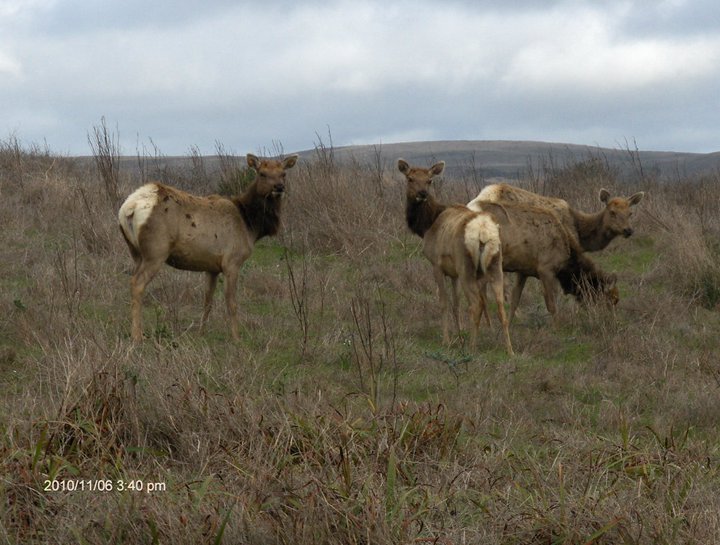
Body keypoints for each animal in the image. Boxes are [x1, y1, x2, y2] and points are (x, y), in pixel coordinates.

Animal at [119, 153, 300, 340]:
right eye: (262, 173)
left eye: (283, 173)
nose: (279, 187)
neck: (250, 225)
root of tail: (129, 208)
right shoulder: (232, 261)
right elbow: (232, 303)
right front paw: (236, 338)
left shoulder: (212, 267)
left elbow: (207, 300)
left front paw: (201, 333)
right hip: (156, 251)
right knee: (137, 283)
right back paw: (137, 336)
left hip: (136, 252)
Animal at [400, 158, 512, 352]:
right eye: (410, 178)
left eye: (429, 180)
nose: (422, 194)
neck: (427, 226)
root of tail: (483, 232)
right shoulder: (454, 273)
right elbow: (456, 304)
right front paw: (459, 337)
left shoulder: (437, 264)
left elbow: (444, 303)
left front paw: (447, 340)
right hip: (496, 265)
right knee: (501, 305)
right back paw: (510, 351)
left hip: (466, 266)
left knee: (476, 304)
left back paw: (472, 348)